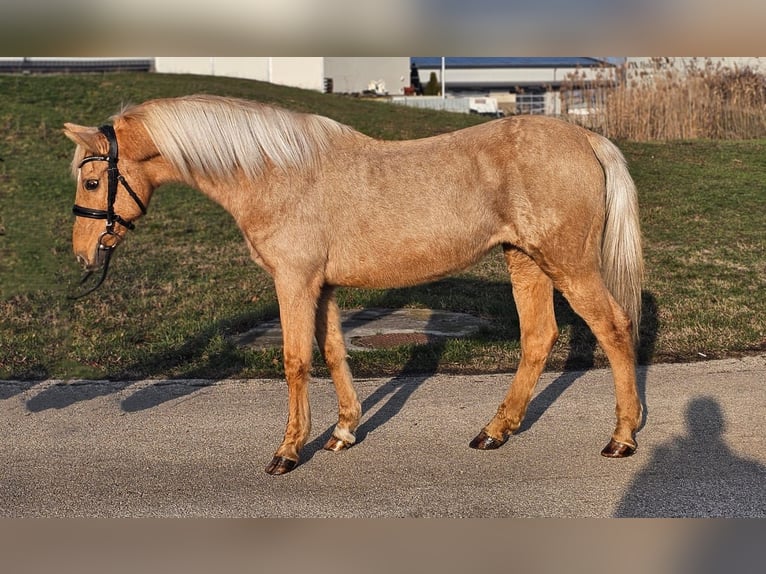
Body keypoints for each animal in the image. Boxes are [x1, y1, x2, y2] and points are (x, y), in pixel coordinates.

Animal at [64, 94, 643, 475]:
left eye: (91, 181)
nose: (84, 254)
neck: (275, 172)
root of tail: (587, 137)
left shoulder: (294, 281)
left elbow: (296, 360)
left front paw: (287, 452)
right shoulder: (321, 286)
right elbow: (333, 351)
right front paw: (343, 432)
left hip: (567, 263)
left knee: (614, 328)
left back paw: (621, 438)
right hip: (525, 260)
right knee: (539, 338)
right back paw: (494, 432)